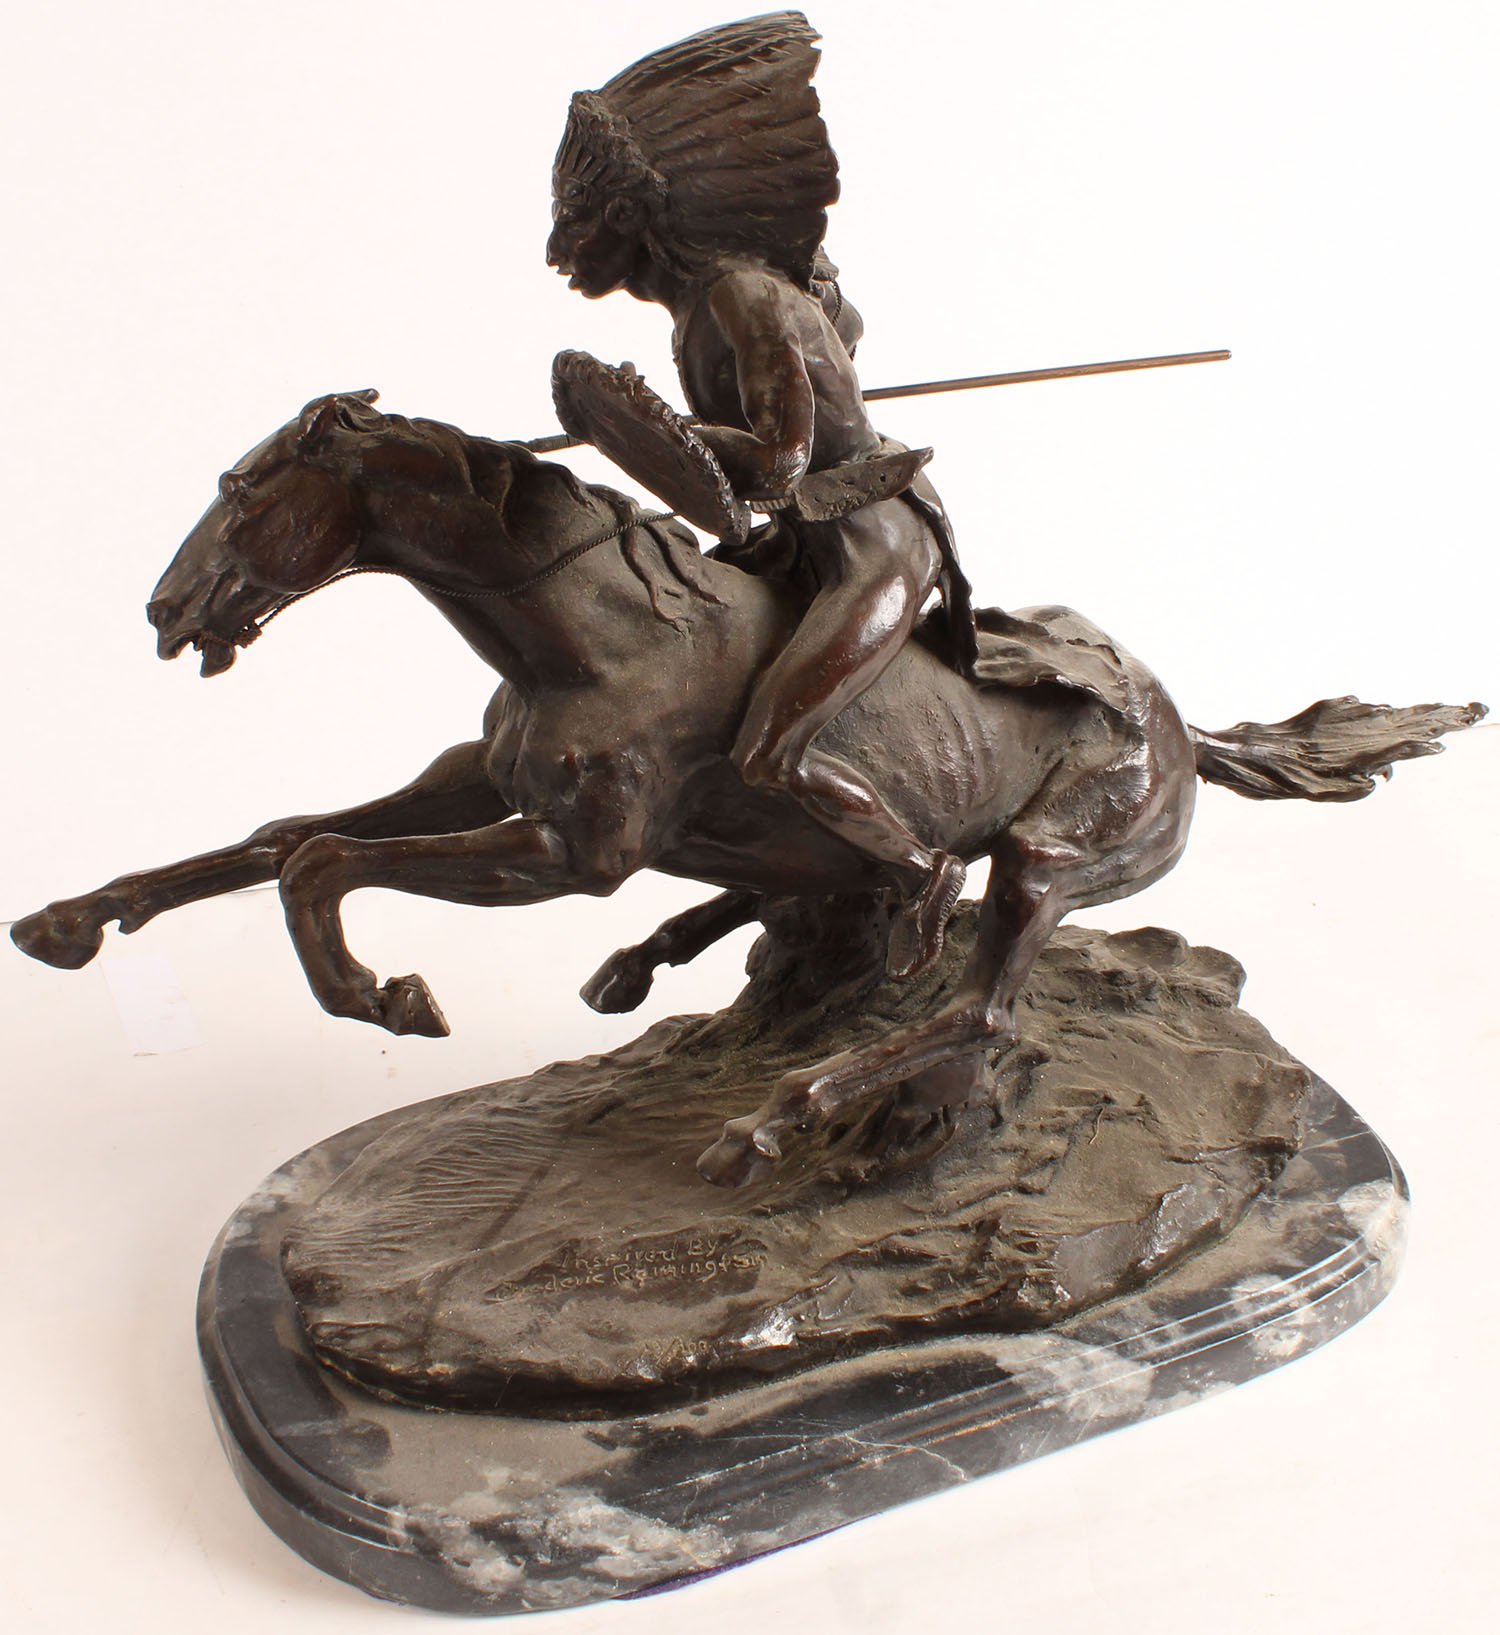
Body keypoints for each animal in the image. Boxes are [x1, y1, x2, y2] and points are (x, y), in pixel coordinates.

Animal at [11, 390, 1480, 1185]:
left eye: (242, 483)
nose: (166, 613)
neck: (592, 633)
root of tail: (1182, 726)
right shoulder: (476, 781)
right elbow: (278, 834)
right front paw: (72, 920)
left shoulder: (570, 852)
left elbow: (320, 864)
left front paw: (385, 996)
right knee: (844, 925)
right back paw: (668, 971)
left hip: (1053, 860)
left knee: (981, 1000)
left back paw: (776, 1117)